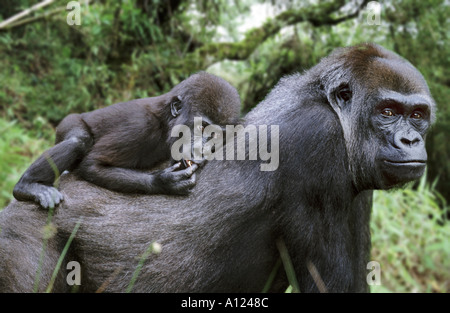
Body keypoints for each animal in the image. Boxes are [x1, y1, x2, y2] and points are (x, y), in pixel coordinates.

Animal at [12, 72, 241, 208]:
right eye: (201, 127)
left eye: (216, 135)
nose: (204, 149)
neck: (166, 121)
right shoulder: (139, 126)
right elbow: (93, 165)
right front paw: (163, 182)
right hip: (68, 123)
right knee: (78, 139)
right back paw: (28, 186)